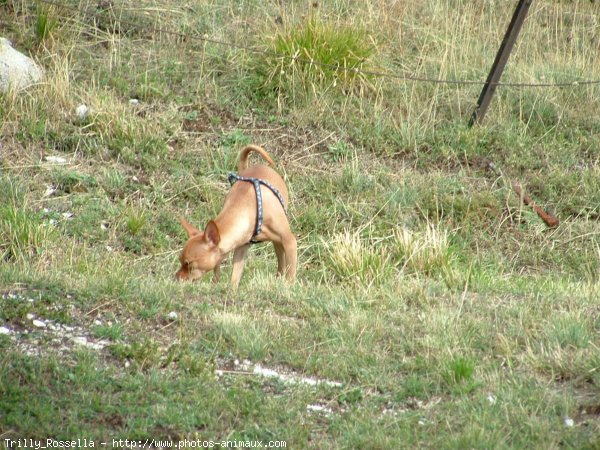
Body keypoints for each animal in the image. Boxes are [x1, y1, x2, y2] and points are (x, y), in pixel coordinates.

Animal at [175, 145, 296, 288]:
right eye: (180, 261)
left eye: (189, 264)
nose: (176, 278)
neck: (246, 210)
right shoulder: (240, 250)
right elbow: (234, 277)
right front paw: (230, 290)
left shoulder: (290, 242)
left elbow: (291, 273)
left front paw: (288, 287)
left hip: (279, 241)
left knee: (282, 262)